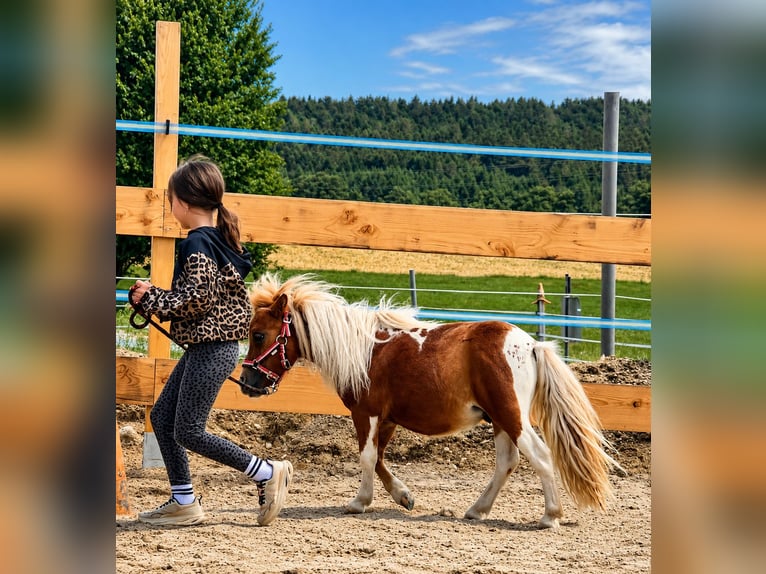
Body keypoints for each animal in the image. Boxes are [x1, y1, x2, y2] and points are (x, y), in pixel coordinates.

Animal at [239, 273, 623, 528]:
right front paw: (403, 496)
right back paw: (477, 510)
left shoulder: (367, 413)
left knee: (539, 456)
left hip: (511, 415)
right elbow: (379, 459)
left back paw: (549, 516)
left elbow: (366, 458)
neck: (364, 350)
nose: (246, 383)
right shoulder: (388, 419)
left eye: (258, 335)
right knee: (507, 463)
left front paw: (359, 502)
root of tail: (530, 344)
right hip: (499, 419)